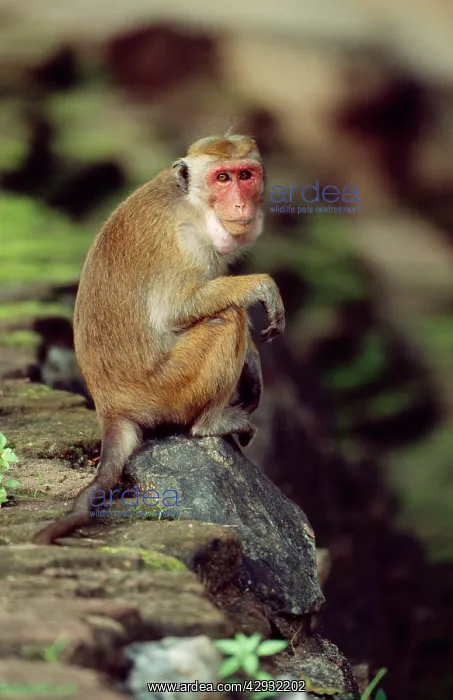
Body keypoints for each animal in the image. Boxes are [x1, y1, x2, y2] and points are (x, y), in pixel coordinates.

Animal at [32, 133, 285, 545]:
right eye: (222, 178)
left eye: (245, 175)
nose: (240, 203)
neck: (191, 203)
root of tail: (111, 409)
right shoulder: (188, 241)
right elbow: (176, 310)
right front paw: (261, 286)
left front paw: (253, 363)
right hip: (166, 390)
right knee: (226, 318)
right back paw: (210, 423)